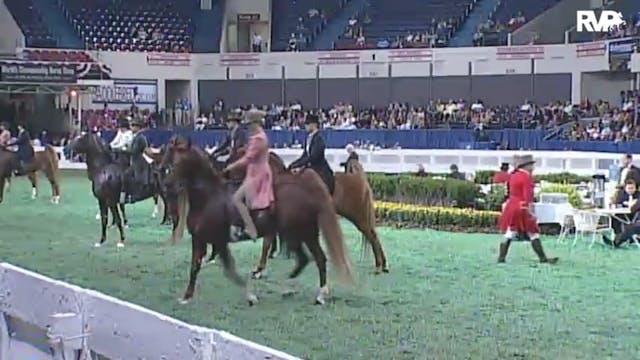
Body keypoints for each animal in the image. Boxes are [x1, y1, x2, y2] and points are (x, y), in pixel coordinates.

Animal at [164, 136, 356, 306]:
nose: (168, 185)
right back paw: (286, 288)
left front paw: (250, 296)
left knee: (318, 259)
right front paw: (186, 297)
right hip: (297, 235)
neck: (208, 198)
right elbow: (197, 267)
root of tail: (304, 189)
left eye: (178, 162)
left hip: (303, 233)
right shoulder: (202, 240)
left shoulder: (217, 241)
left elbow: (229, 270)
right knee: (304, 260)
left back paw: (319, 296)